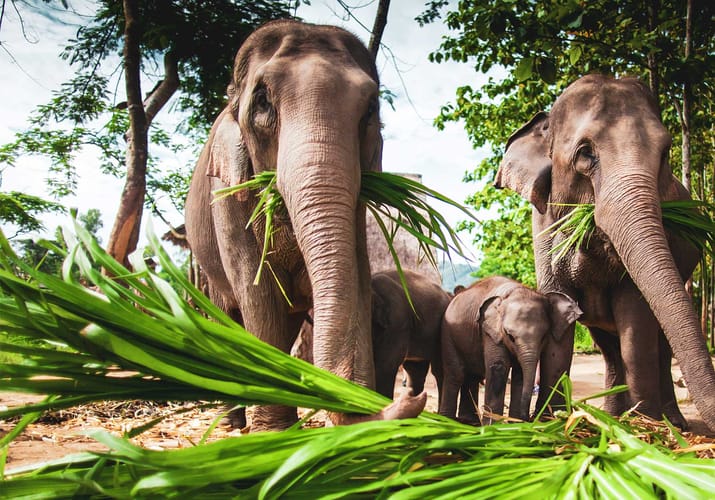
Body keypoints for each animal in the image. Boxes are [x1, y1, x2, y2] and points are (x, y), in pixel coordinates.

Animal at [185, 20, 425, 431]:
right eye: (262, 101)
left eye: (370, 109)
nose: (409, 398)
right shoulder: (227, 195)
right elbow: (258, 293)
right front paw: (274, 431)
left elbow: (356, 278)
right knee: (228, 314)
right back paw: (232, 422)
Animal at [439, 276, 581, 424]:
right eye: (510, 336)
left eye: (544, 337)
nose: (528, 418)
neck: (514, 291)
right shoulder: (490, 332)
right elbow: (498, 367)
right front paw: (493, 426)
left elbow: (519, 375)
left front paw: (515, 423)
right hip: (447, 333)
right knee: (456, 373)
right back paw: (446, 420)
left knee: (472, 376)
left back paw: (469, 421)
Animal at [495, 74, 715, 431]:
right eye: (586, 153)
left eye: (665, 153)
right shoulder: (541, 226)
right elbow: (558, 307)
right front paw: (552, 420)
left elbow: (636, 318)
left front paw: (644, 423)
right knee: (607, 345)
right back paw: (612, 414)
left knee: (659, 343)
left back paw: (670, 422)